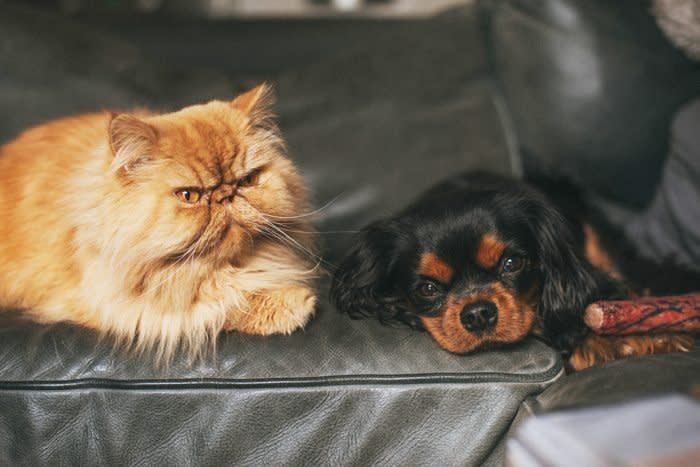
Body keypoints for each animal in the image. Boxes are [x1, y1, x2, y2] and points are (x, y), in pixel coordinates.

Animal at [0, 84, 318, 362]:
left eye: (248, 180)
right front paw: (297, 303)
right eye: (189, 196)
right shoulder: (124, 305)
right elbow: (221, 302)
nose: (225, 195)